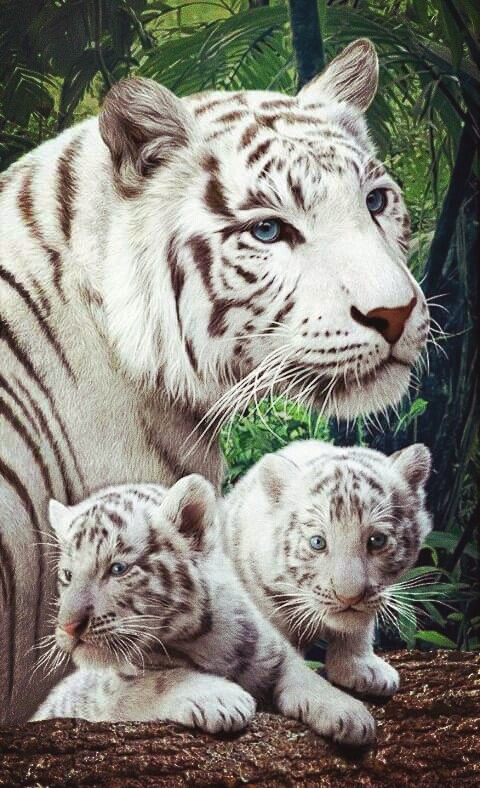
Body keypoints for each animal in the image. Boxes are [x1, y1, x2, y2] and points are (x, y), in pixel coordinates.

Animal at [31, 474, 376, 746]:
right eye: (67, 575)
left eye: (118, 569)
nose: (68, 626)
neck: (202, 639)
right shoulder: (103, 695)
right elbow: (156, 681)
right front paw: (223, 699)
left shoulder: (273, 651)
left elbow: (303, 675)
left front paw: (350, 714)